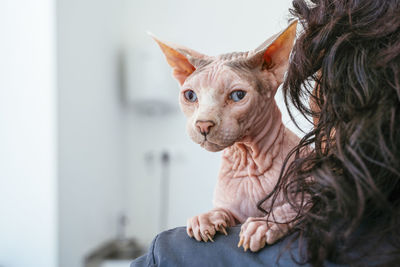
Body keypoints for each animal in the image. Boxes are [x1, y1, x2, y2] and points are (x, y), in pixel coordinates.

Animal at [152, 21, 300, 253]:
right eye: (190, 96)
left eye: (238, 95)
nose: (203, 124)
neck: (247, 162)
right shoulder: (233, 211)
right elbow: (222, 210)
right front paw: (205, 219)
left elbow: (294, 207)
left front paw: (263, 225)